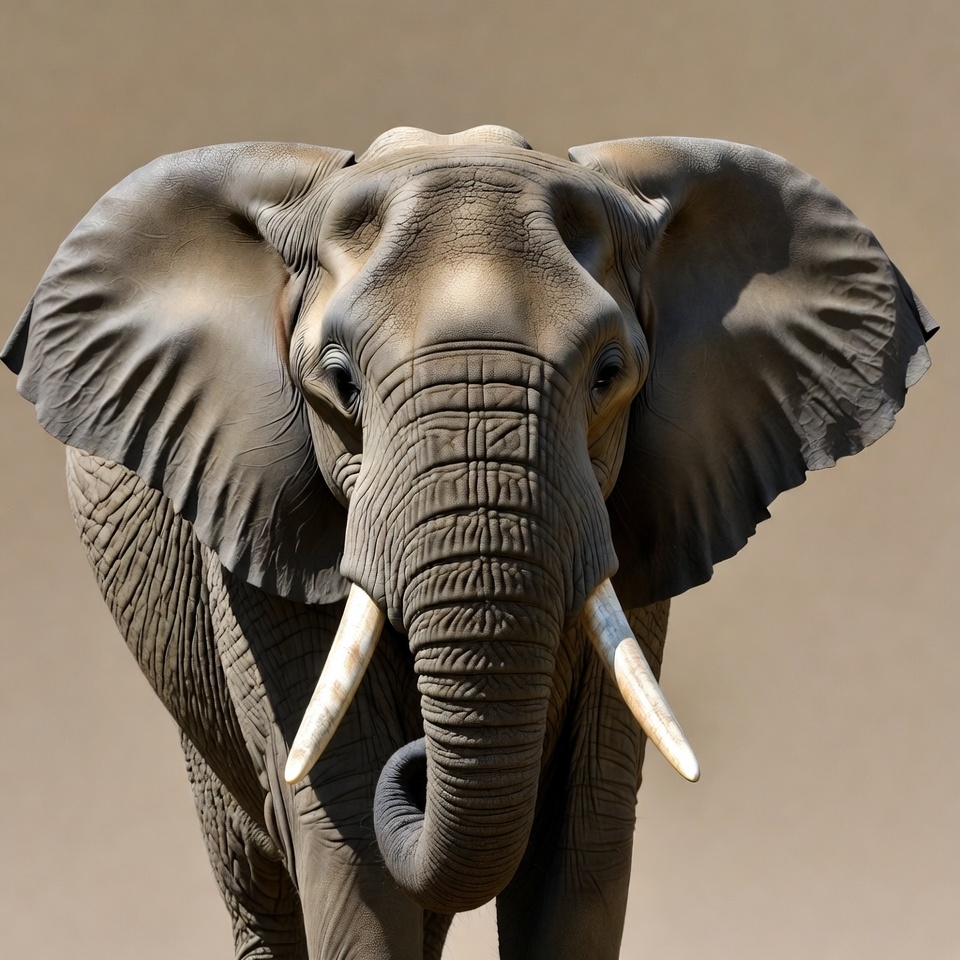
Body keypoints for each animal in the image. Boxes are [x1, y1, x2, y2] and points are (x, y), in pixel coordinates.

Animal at [3, 124, 935, 959]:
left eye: (608, 375)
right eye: (339, 382)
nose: (418, 754)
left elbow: (582, 844)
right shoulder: (257, 529)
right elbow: (345, 836)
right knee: (263, 887)